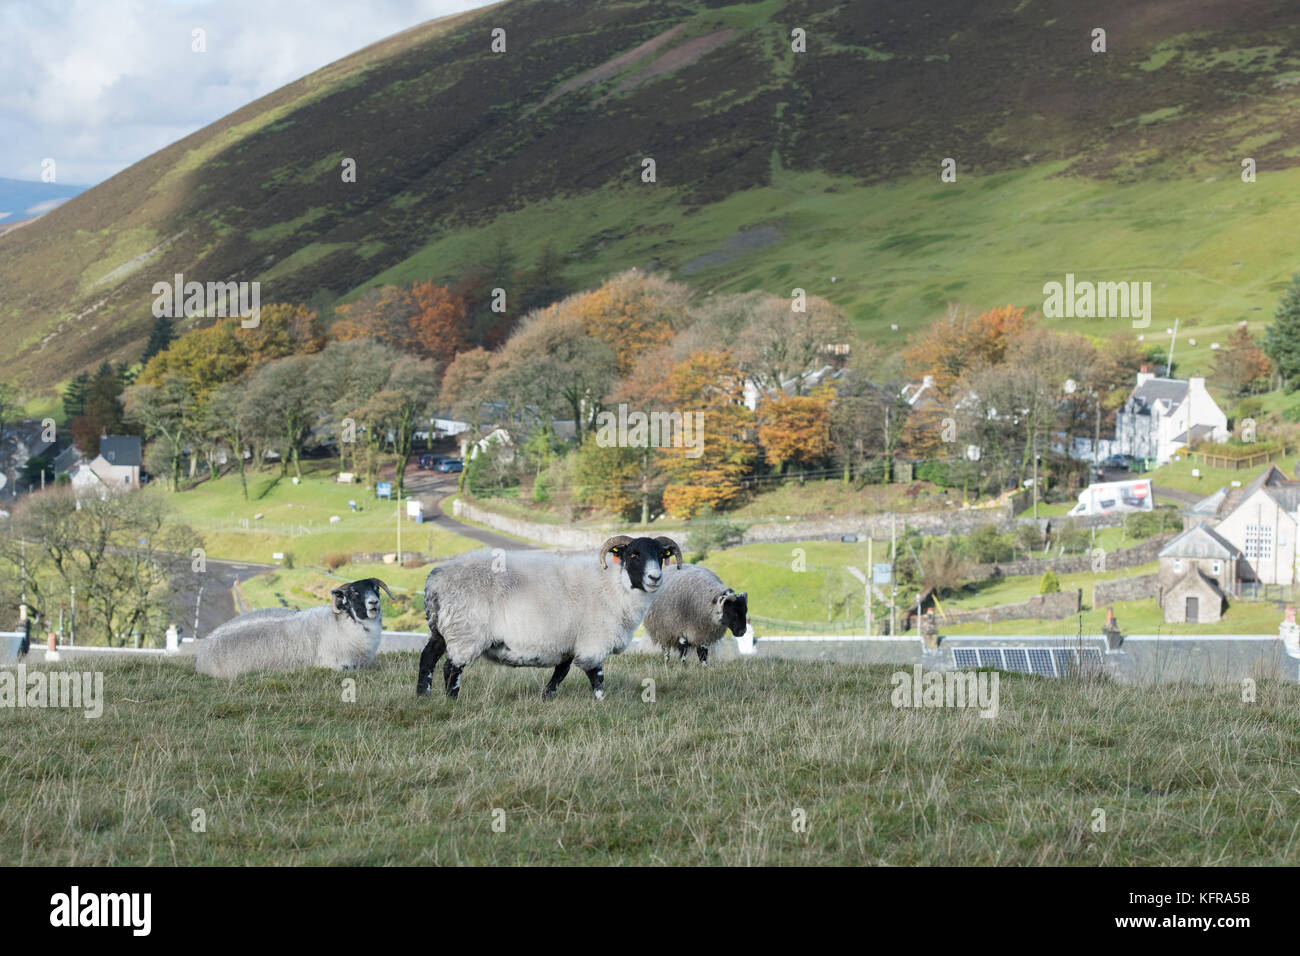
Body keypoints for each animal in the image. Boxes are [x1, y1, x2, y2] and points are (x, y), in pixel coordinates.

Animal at [192, 574, 392, 681]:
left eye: (376, 589)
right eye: (354, 593)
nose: (373, 603)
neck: (340, 625)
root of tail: (200, 656)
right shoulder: (335, 665)